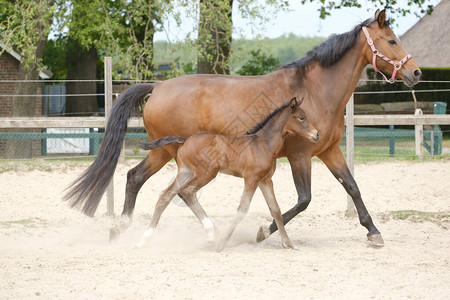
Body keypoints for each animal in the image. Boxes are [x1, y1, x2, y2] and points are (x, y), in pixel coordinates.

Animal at [135, 97, 318, 250]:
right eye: (301, 117)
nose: (316, 134)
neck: (263, 144)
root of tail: (185, 140)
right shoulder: (251, 178)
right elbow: (242, 209)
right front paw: (222, 243)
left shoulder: (265, 180)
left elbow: (276, 210)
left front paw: (289, 243)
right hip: (207, 173)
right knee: (186, 192)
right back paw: (211, 235)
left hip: (185, 172)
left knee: (166, 195)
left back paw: (144, 240)